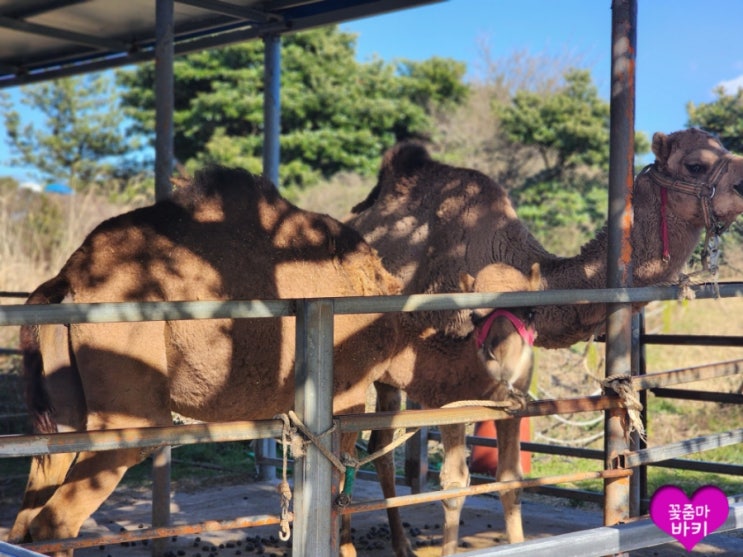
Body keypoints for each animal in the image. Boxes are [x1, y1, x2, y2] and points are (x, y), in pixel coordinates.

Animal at [7, 166, 540, 556]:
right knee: (58, 518)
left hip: (67, 411)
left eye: (532, 312)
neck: (391, 324)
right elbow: (336, 492)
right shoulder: (345, 398)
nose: (507, 364)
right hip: (127, 394)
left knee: (31, 510)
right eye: (482, 313)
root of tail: (68, 278)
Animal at [348, 129, 743, 552]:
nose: (742, 182)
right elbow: (454, 486)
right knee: (369, 445)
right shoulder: (446, 386)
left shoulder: (508, 388)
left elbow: (509, 480)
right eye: (696, 164)